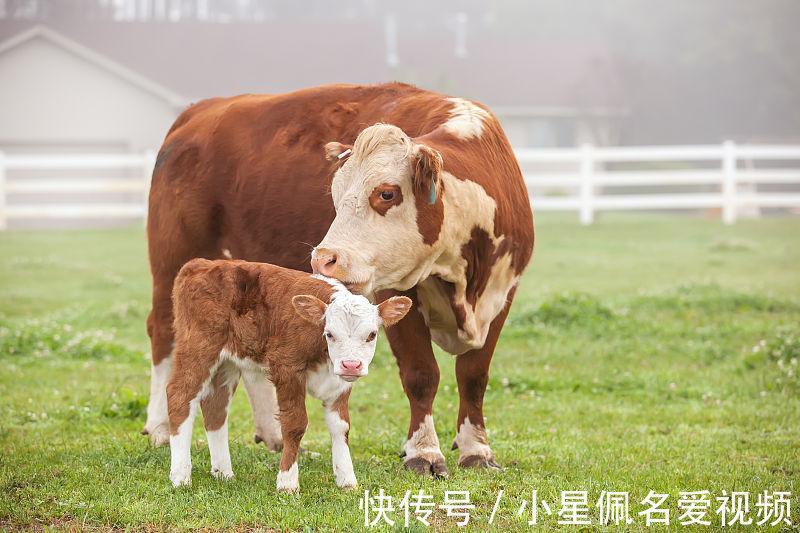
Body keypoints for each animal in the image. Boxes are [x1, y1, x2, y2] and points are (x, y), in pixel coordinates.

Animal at [165, 258, 410, 490]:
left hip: (227, 363)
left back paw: (224, 473)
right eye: (329, 333)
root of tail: (201, 263)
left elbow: (341, 427)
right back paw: (180, 476)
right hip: (199, 347)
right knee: (179, 395)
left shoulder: (340, 383)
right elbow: (295, 425)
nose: (351, 365)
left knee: (215, 406)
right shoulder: (287, 369)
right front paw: (287, 482)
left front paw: (347, 480)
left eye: (372, 334)